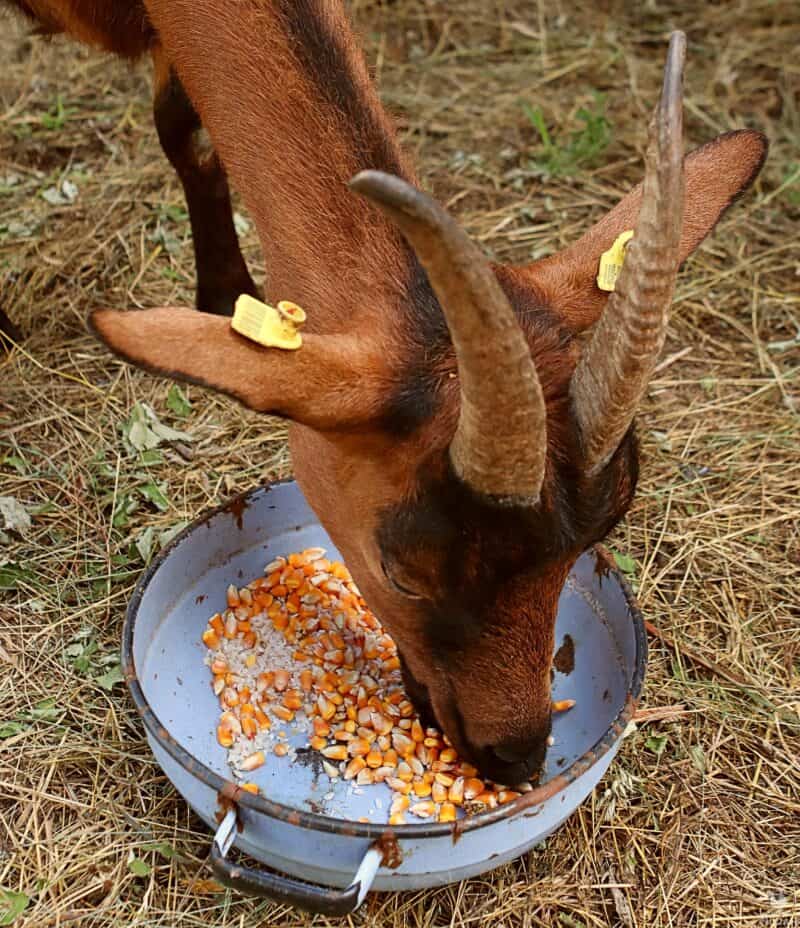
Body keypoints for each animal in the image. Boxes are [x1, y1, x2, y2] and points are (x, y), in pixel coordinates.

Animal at [88, 2, 767, 783]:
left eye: (590, 545)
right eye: (403, 573)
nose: (515, 757)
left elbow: (182, 126)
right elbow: (182, 129)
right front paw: (224, 293)